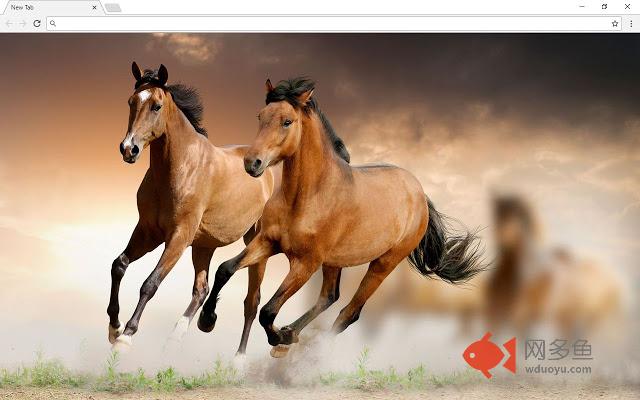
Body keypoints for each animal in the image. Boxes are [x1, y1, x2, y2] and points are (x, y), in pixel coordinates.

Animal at [108, 62, 274, 354]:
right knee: (202, 289)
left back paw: (238, 358)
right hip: (204, 245)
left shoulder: (178, 237)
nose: (129, 149)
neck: (181, 168)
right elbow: (119, 265)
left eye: (156, 106)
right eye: (131, 102)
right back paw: (181, 333)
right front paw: (113, 327)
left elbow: (150, 283)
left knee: (251, 302)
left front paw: (126, 336)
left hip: (255, 243)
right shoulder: (148, 232)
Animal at [197, 78, 485, 357]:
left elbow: (269, 311)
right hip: (335, 261)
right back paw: (292, 335)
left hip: (383, 263)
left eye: (287, 121)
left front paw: (279, 337)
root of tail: (420, 193)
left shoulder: (305, 263)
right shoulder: (267, 242)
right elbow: (225, 270)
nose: (252, 163)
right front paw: (207, 320)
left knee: (349, 312)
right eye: (260, 116)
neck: (307, 197)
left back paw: (300, 348)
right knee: (329, 297)